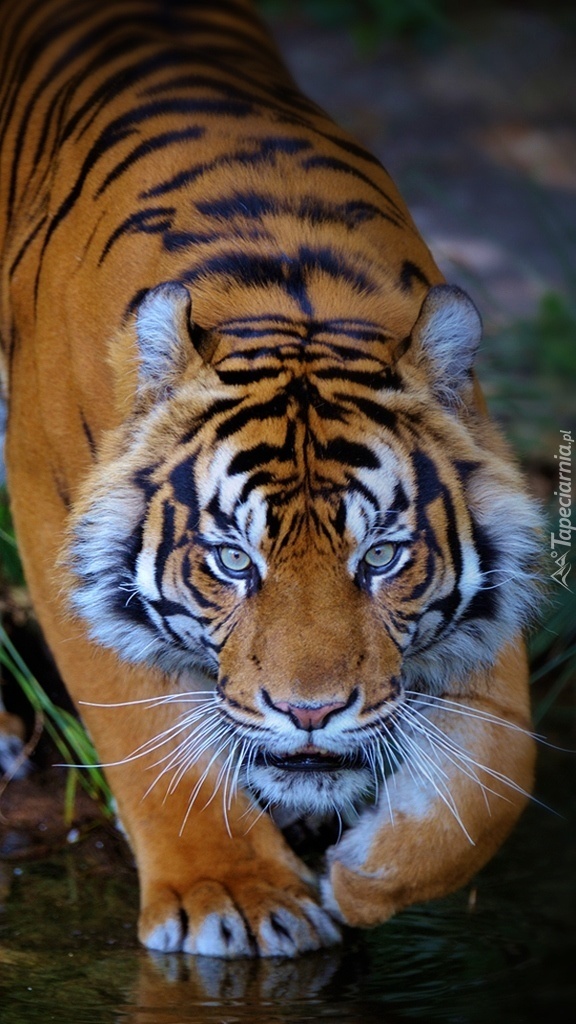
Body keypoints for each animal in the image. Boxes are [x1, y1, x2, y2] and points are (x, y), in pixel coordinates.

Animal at [0, 0, 541, 958]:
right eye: (231, 561)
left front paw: (366, 878)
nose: (311, 715)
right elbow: (145, 729)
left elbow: (503, 770)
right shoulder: (51, 513)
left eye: (382, 557)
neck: (284, 290)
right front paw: (234, 900)